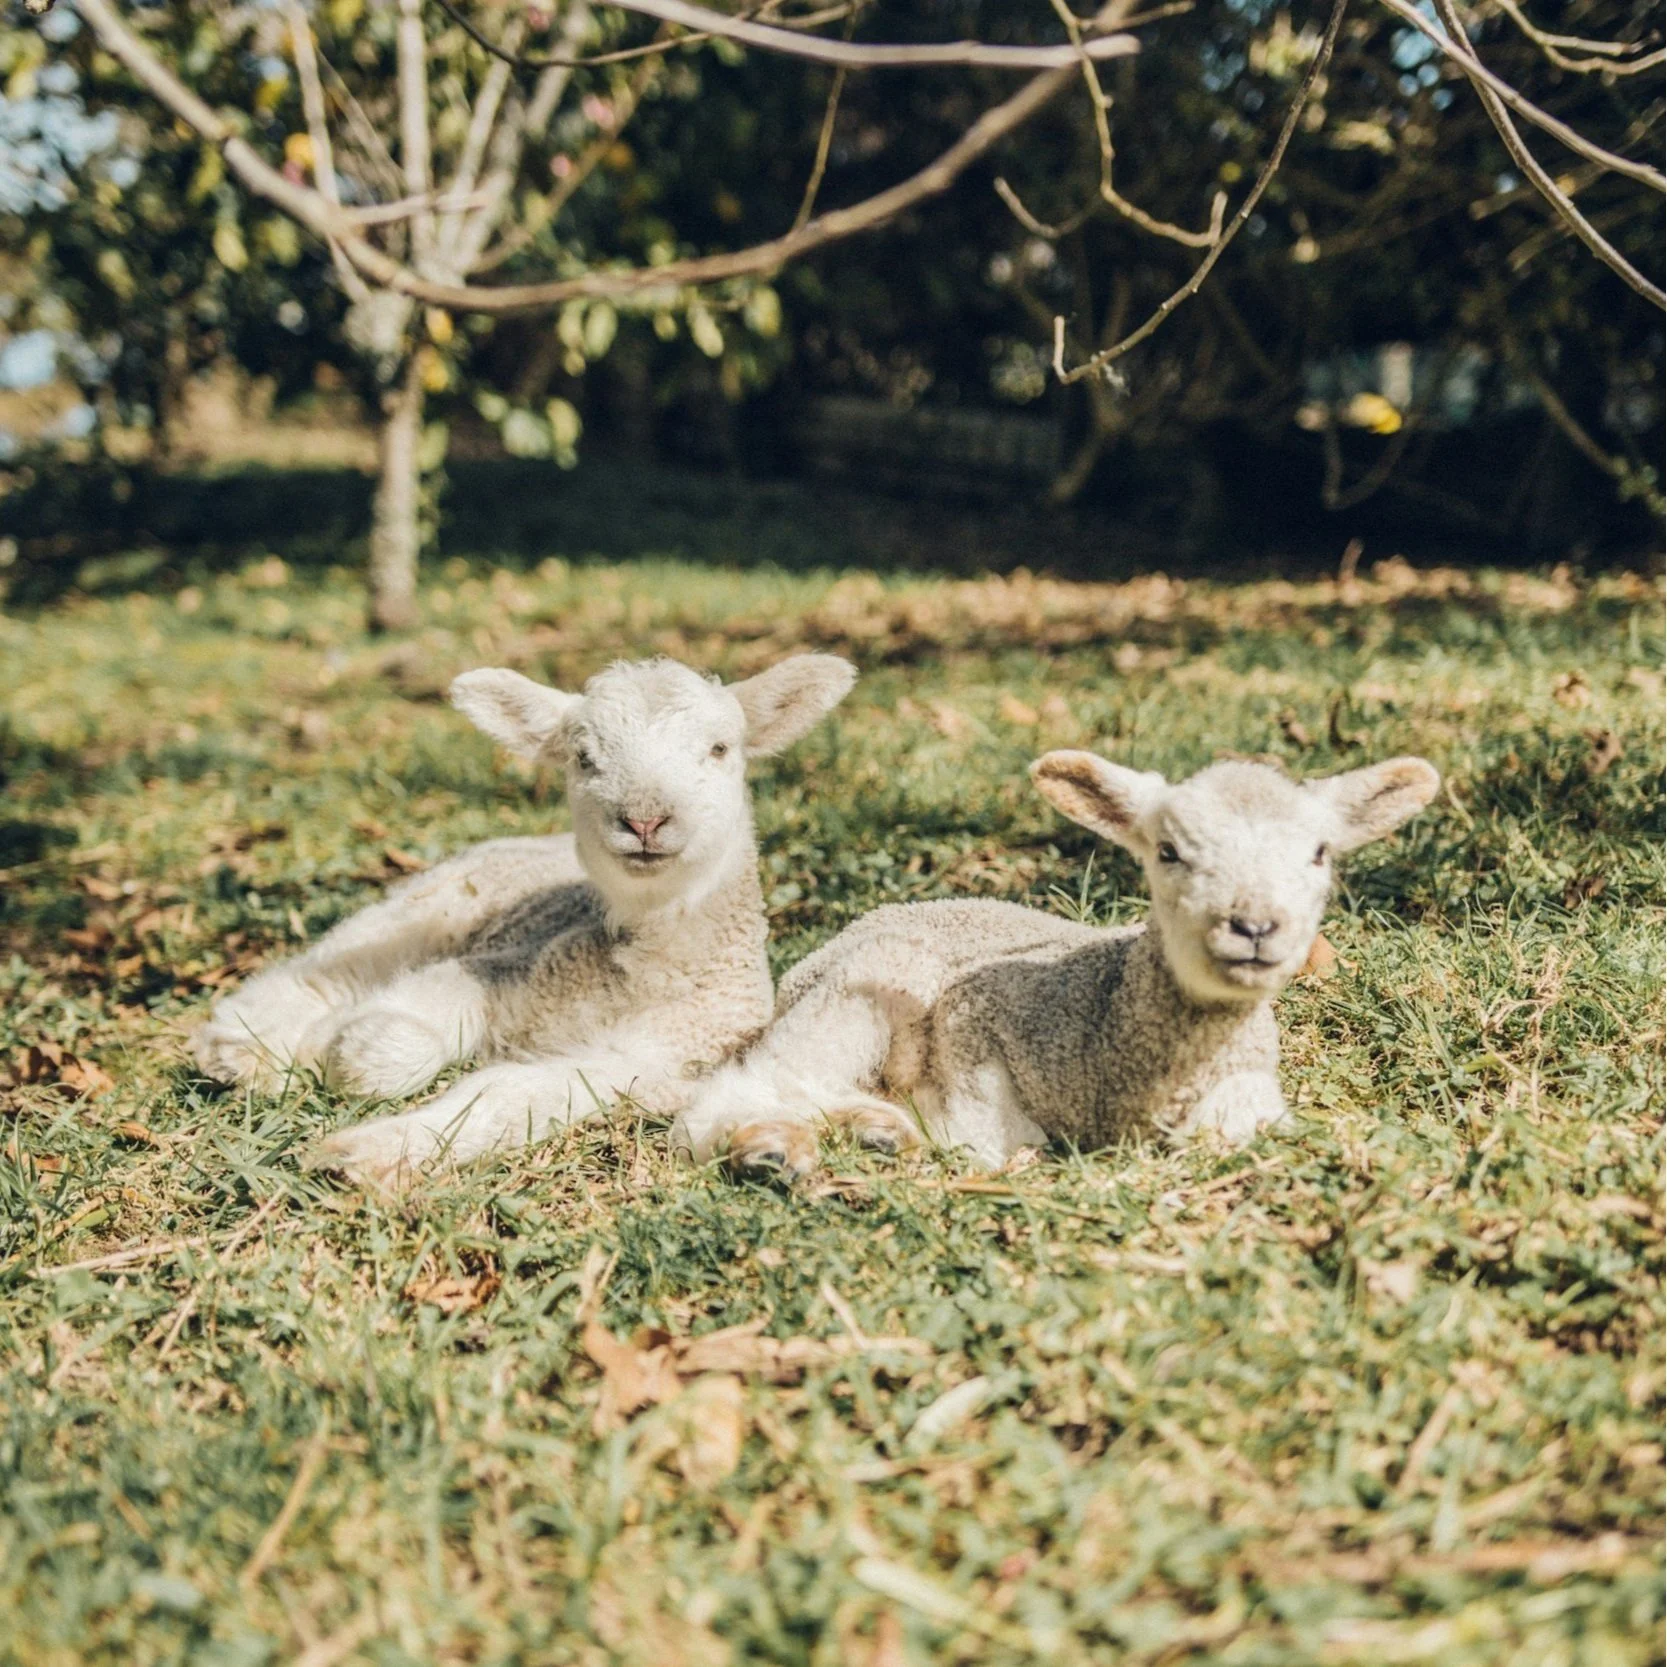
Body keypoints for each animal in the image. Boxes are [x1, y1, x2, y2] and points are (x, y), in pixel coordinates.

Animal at [191, 652, 857, 1184]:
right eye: (583, 757)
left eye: (719, 749)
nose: (644, 819)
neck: (643, 974)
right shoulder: (503, 966)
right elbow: (398, 1037)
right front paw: (339, 1046)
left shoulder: (651, 1065)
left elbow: (508, 1094)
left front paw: (370, 1149)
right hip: (426, 908)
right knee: (320, 974)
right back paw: (238, 1049)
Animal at [672, 749, 1439, 1176]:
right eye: (1167, 851)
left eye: (1319, 853)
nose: (1253, 926)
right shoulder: (975, 1028)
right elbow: (995, 1134)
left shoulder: (1250, 1098)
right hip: (866, 988)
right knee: (744, 1089)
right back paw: (774, 1149)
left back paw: (874, 1131)